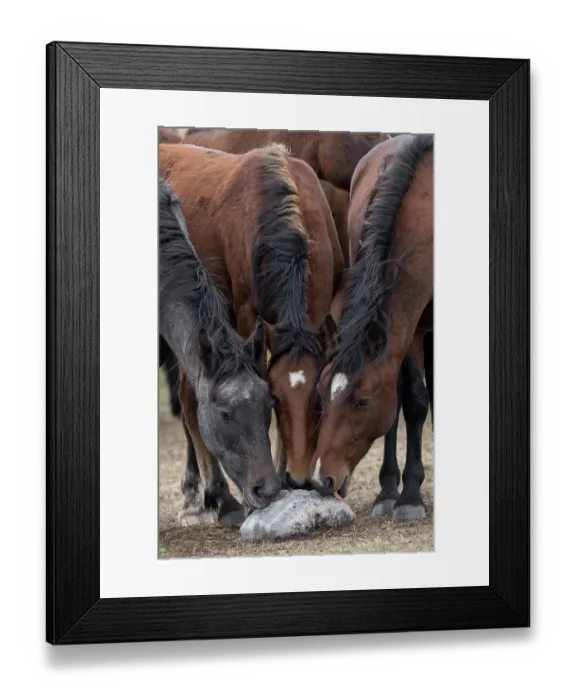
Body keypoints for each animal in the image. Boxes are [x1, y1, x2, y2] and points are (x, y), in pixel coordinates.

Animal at [310, 134, 434, 523]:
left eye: (362, 402)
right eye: (321, 394)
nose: (320, 479)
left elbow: (417, 403)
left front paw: (411, 496)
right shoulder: (407, 331)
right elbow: (405, 400)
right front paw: (397, 491)